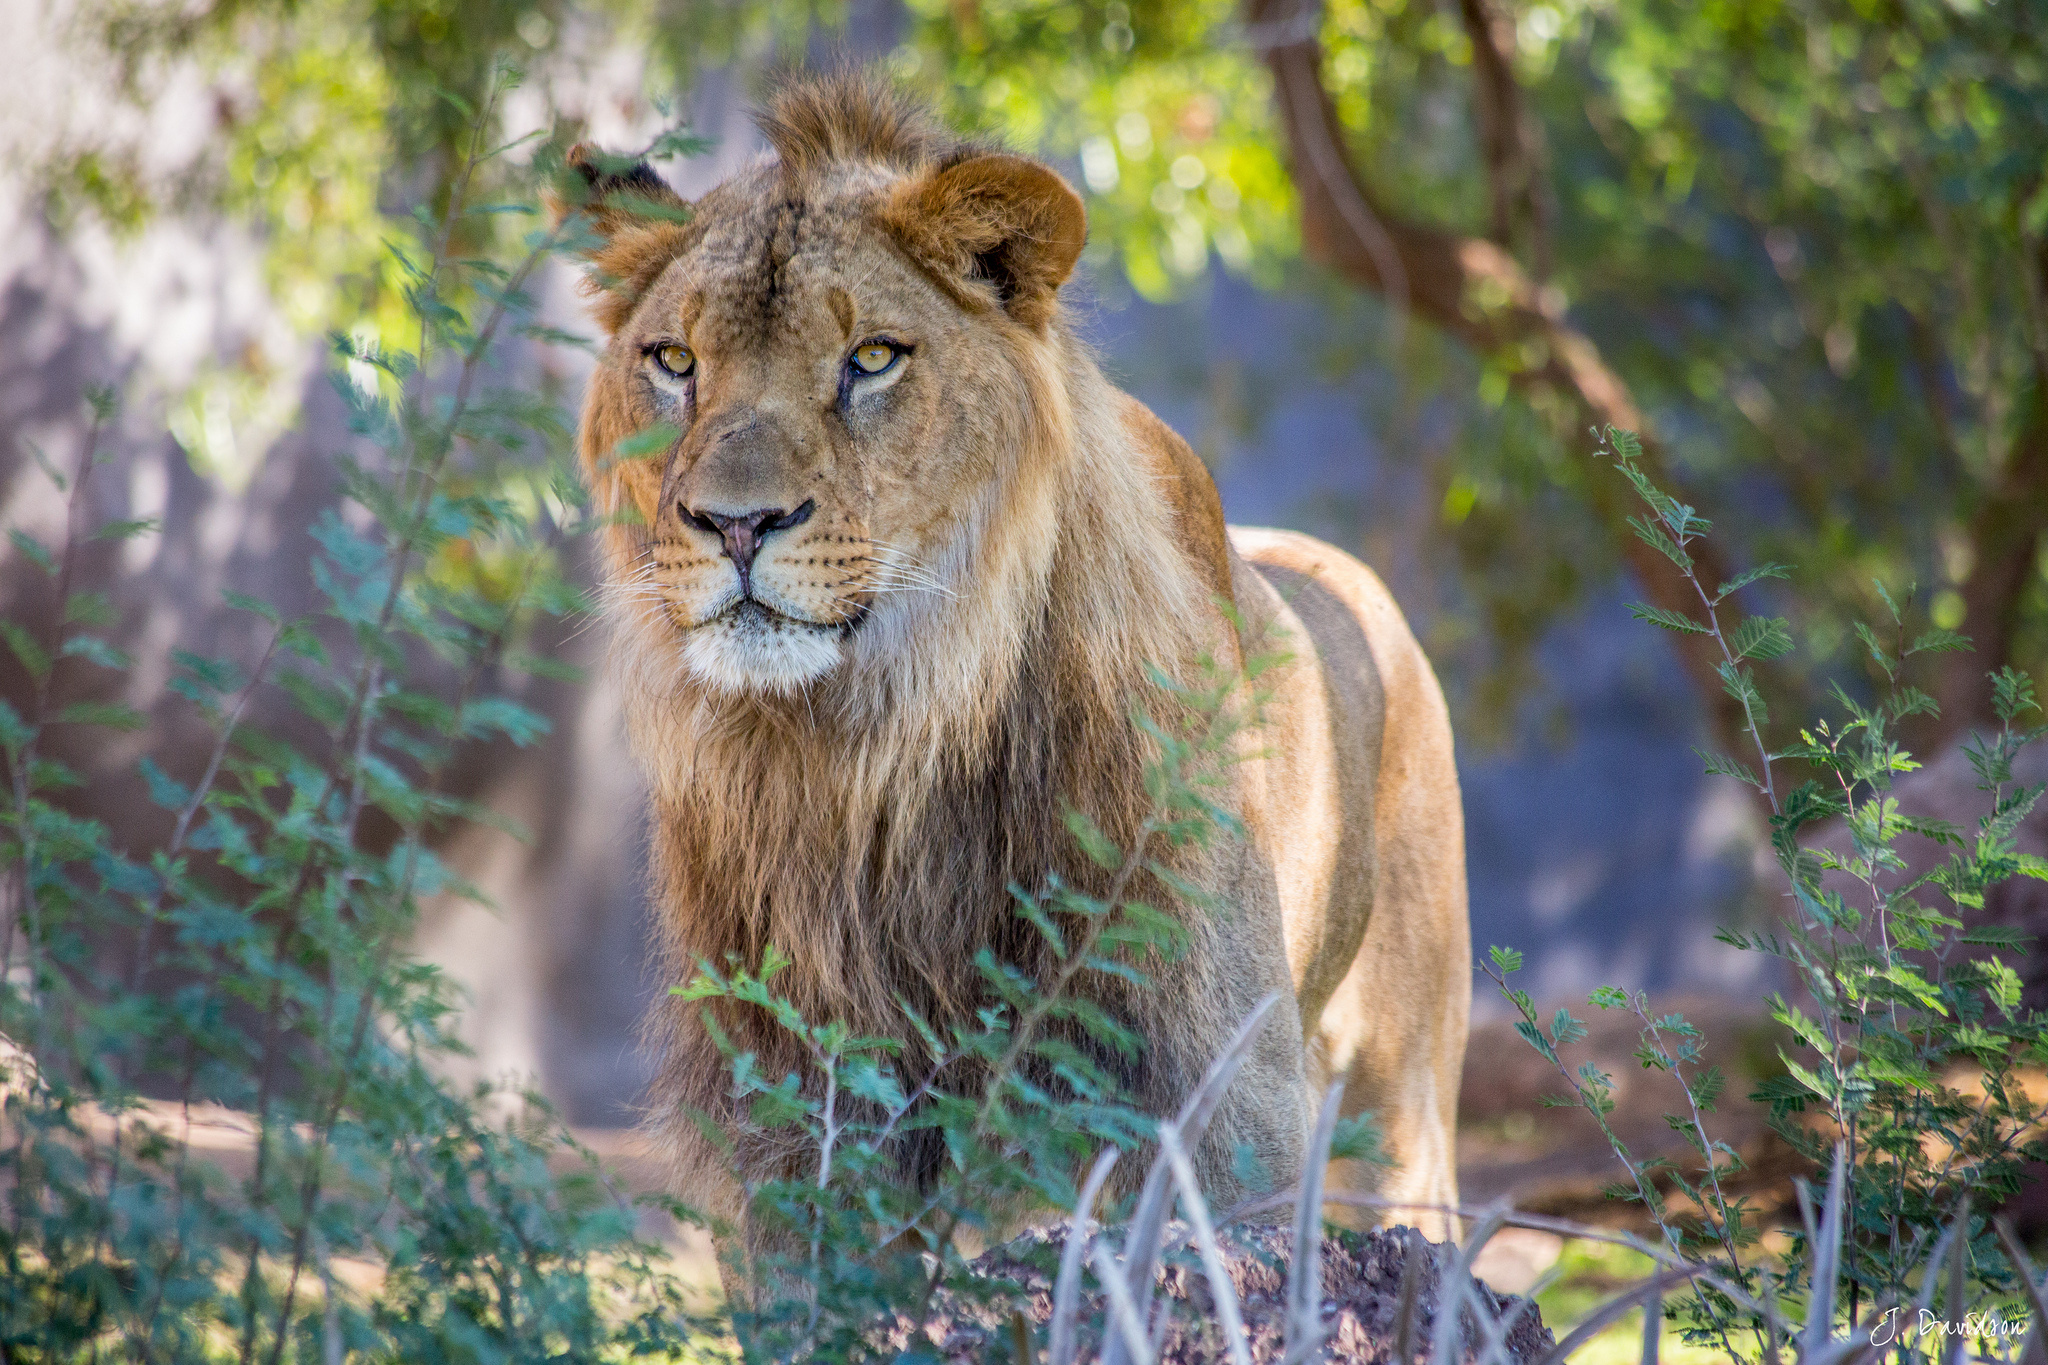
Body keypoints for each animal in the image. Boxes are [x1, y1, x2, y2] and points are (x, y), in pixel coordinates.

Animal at [552, 72, 1466, 1268]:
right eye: (673, 362)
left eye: (872, 359)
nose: (734, 524)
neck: (872, 748)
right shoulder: (799, 1114)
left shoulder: (1216, 1091)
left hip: (1401, 1093)